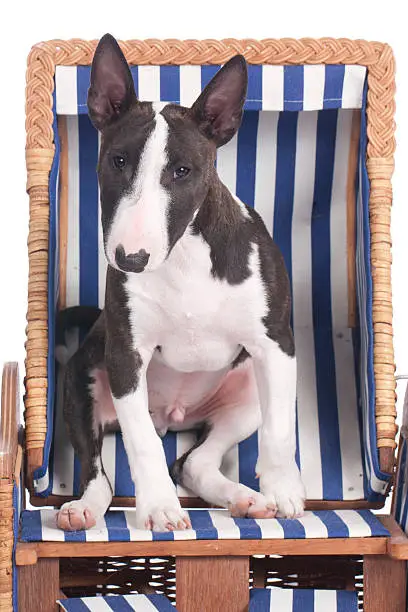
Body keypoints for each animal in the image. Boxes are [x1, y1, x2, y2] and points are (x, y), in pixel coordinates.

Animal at [56, 32, 306, 532]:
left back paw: (247, 499)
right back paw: (83, 509)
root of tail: (172, 416)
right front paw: (159, 507)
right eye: (117, 161)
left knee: (194, 461)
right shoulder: (126, 355)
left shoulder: (276, 344)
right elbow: (141, 443)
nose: (130, 259)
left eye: (183, 171)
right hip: (82, 380)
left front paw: (284, 492)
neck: (184, 258)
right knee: (100, 470)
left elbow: (279, 432)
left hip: (247, 391)